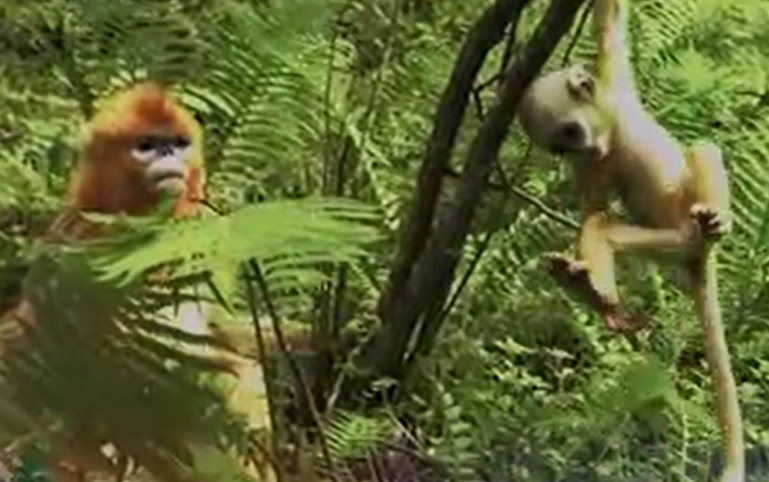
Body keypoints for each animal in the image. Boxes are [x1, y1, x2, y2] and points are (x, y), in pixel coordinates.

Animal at [515, 1, 744, 481]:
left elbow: (610, 21)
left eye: (571, 133)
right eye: (561, 147)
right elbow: (594, 210)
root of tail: (697, 258)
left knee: (704, 150)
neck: (613, 127)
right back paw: (592, 291)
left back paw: (719, 220)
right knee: (605, 226)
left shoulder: (615, 78)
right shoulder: (592, 164)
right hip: (670, 241)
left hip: (684, 220)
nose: (584, 149)